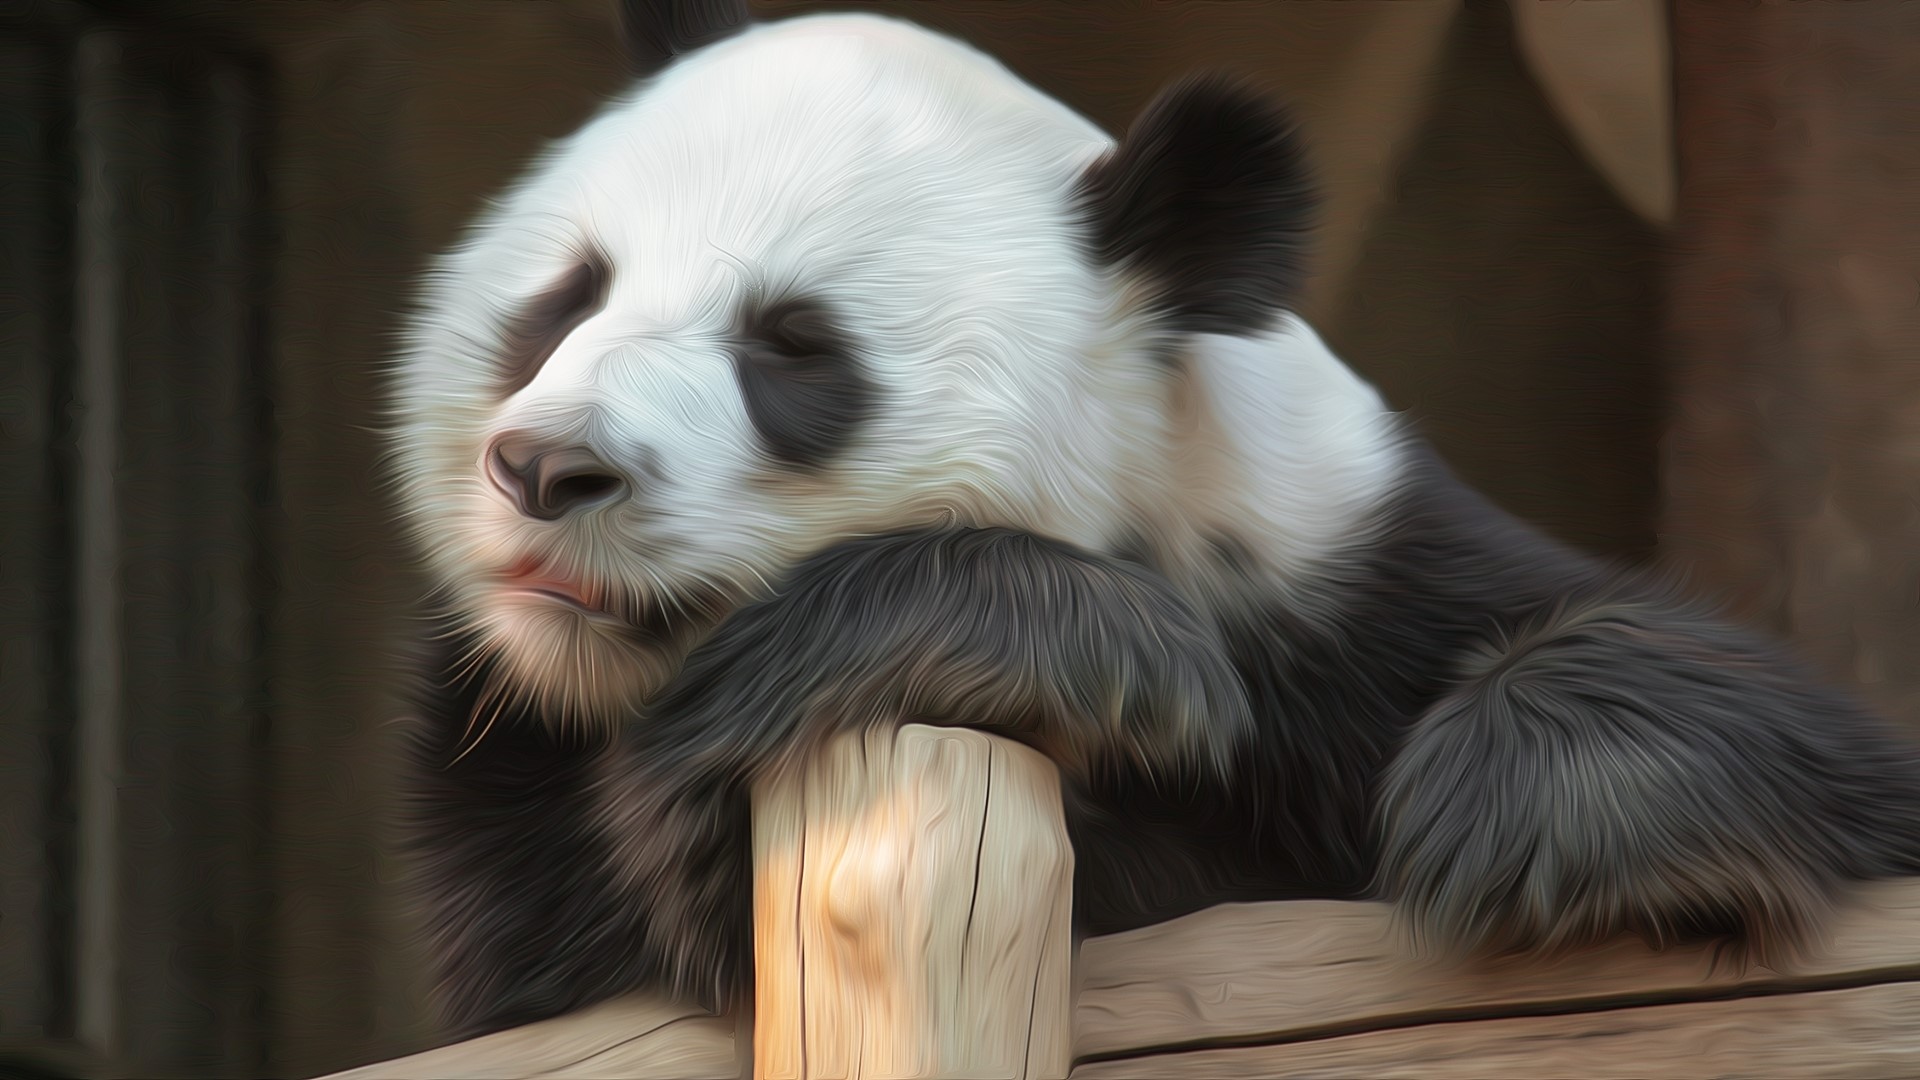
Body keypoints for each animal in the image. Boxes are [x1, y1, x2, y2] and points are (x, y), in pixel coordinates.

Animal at [386, 0, 1920, 1039]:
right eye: (569, 297)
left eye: (794, 352)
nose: (549, 468)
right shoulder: (503, 762)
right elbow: (606, 954)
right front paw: (1074, 648)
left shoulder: (1344, 572)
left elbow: (1790, 739)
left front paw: (1533, 806)